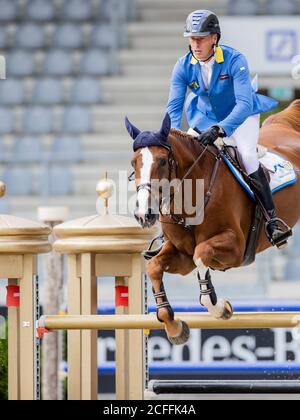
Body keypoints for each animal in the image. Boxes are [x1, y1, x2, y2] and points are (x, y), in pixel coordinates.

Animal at [124, 101, 300, 344]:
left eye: (161, 161)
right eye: (134, 163)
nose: (144, 214)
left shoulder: (236, 248)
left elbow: (202, 253)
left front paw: (218, 306)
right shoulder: (182, 255)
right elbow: (154, 267)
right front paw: (174, 326)